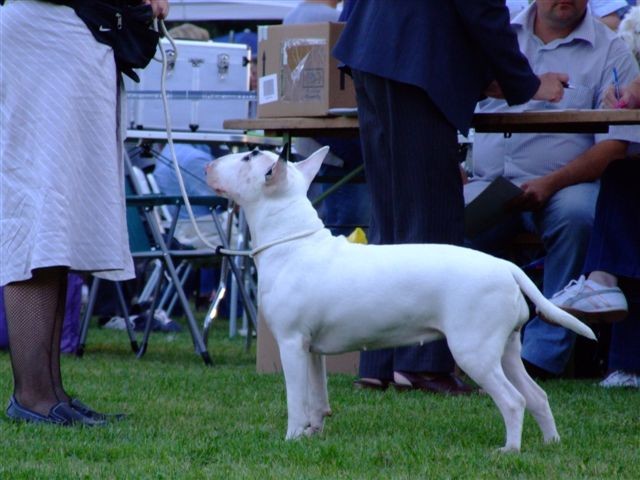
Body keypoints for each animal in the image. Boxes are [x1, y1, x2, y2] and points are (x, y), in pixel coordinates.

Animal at [208, 145, 596, 450]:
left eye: (248, 156)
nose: (209, 166)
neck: (293, 242)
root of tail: (507, 267)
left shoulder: (290, 344)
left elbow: (296, 399)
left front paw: (291, 438)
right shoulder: (311, 348)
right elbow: (317, 397)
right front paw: (311, 434)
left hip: (474, 351)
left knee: (514, 401)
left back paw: (509, 450)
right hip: (505, 350)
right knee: (537, 396)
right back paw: (551, 444)